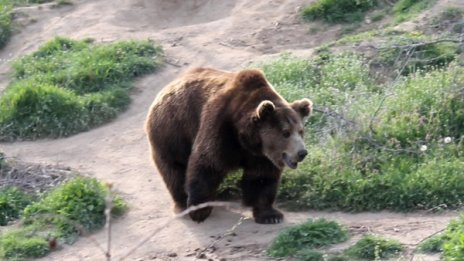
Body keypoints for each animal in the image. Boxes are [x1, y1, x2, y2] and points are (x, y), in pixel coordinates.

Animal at [145, 67, 312, 223]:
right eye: (286, 133)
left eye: (301, 131)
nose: (302, 152)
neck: (246, 137)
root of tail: (165, 89)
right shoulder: (221, 127)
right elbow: (207, 163)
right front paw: (199, 210)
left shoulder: (261, 154)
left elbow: (262, 177)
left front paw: (270, 215)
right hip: (173, 130)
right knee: (174, 168)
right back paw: (182, 203)